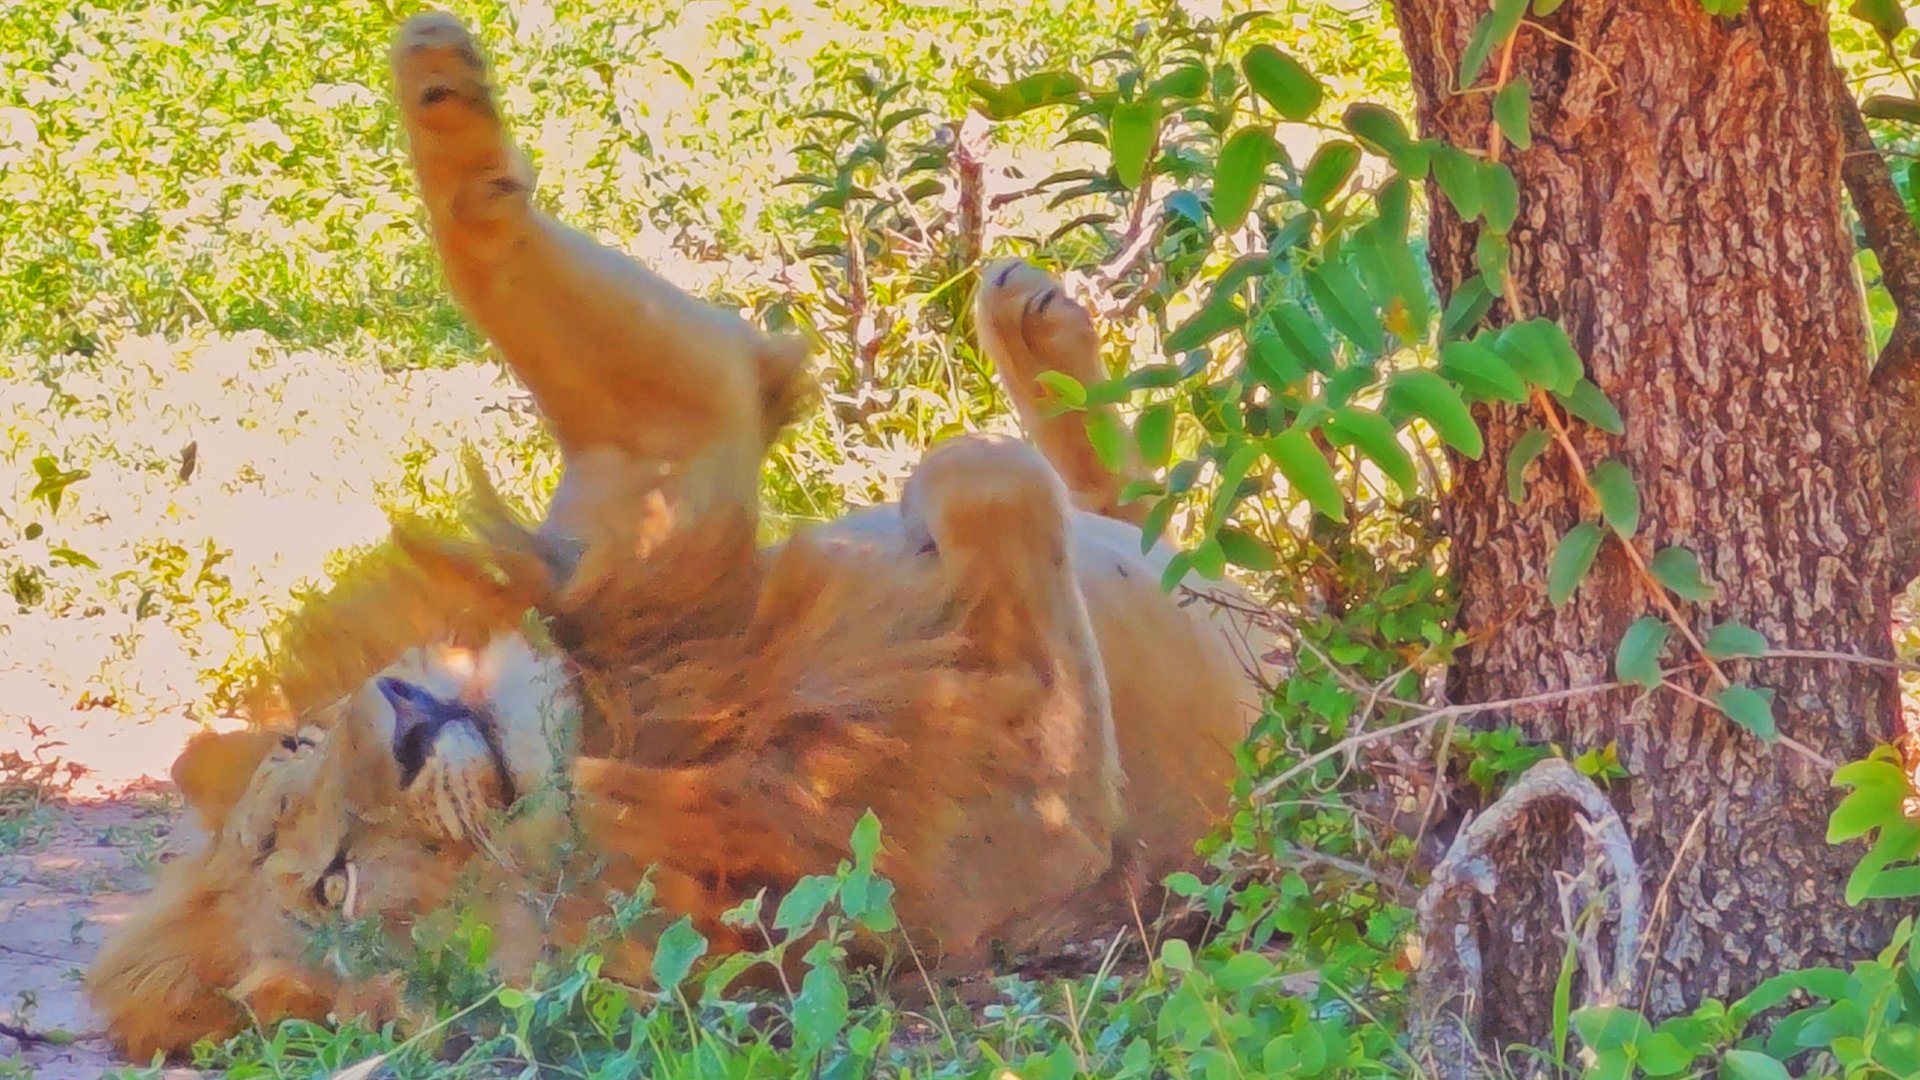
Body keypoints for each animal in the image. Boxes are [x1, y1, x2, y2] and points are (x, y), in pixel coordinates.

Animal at [86, 12, 1280, 1062]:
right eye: (335, 888)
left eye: (298, 750)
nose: (406, 727)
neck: (616, 730)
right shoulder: (1020, 827)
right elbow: (979, 485)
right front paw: (960, 476)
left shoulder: (658, 470)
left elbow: (485, 251)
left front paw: (434, 75)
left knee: (1136, 498)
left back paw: (1029, 313)